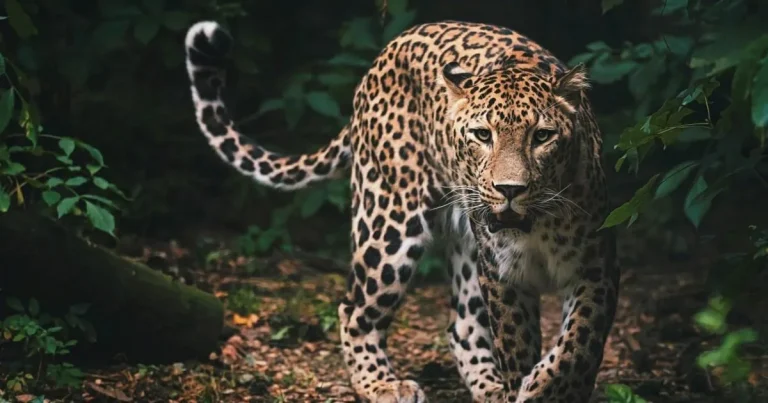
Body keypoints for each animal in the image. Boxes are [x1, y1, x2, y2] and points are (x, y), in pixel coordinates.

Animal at [184, 19, 618, 403]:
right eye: (482, 135)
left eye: (542, 136)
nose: (509, 190)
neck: (536, 226)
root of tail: (386, 52)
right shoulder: (503, 275)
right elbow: (518, 346)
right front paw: (528, 388)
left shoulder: (596, 266)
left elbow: (579, 344)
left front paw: (549, 389)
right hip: (389, 222)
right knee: (353, 309)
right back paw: (382, 385)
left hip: (464, 243)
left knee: (461, 323)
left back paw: (489, 388)